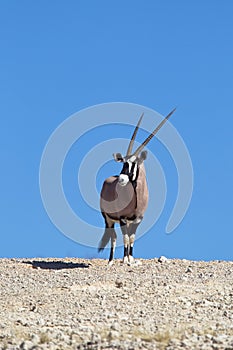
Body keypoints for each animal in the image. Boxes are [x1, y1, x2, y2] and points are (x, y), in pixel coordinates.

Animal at [97, 108, 176, 264]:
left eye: (134, 163)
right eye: (123, 163)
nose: (121, 178)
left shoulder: (137, 220)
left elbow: (132, 238)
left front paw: (131, 259)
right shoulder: (122, 218)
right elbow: (125, 238)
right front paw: (124, 260)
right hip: (108, 219)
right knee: (113, 237)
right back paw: (110, 261)